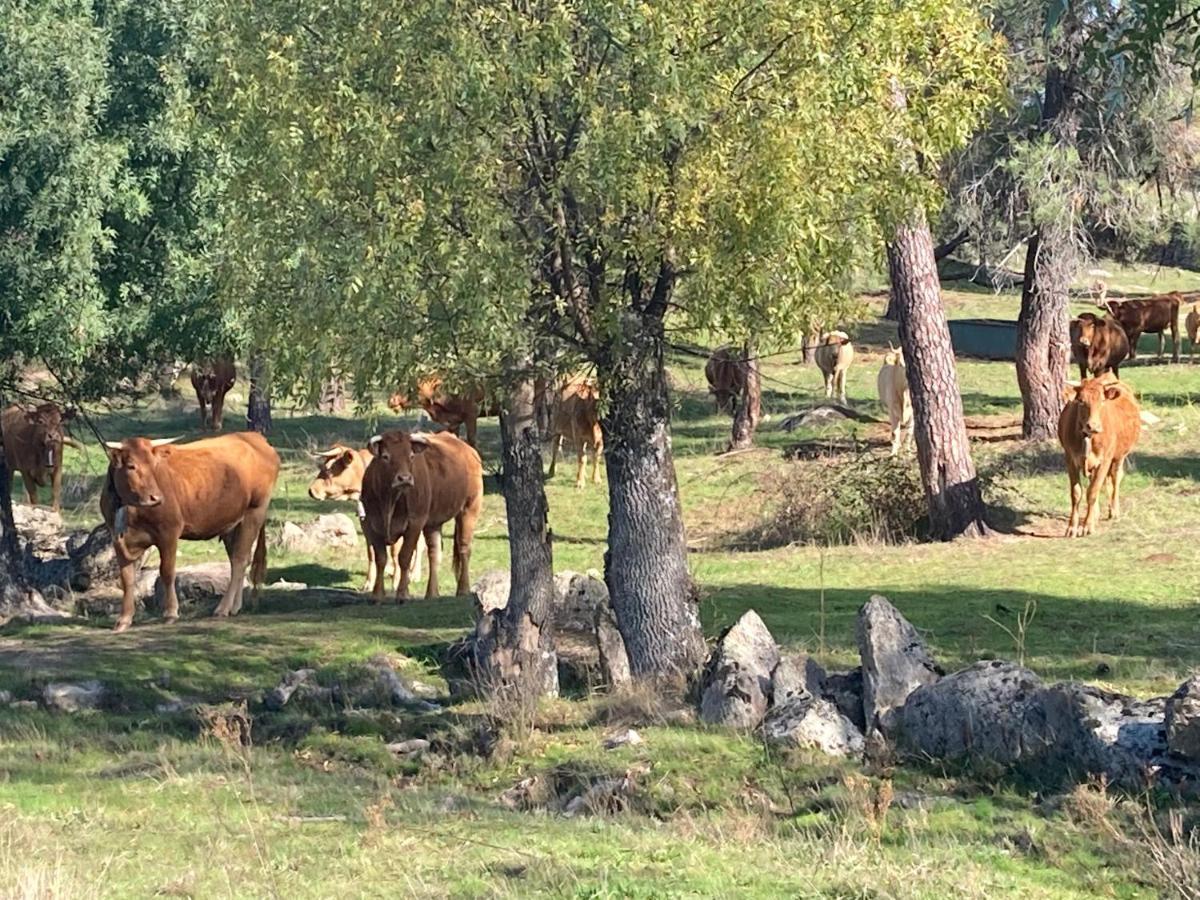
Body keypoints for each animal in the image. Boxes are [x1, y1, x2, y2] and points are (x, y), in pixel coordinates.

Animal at [101, 432, 278, 633]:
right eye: (131, 466)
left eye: (155, 465)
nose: (156, 498)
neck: (131, 511)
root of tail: (254, 437)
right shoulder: (118, 540)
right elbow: (127, 579)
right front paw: (124, 619)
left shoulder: (169, 532)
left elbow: (167, 572)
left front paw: (171, 613)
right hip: (232, 523)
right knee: (239, 559)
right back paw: (234, 606)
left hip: (255, 512)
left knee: (240, 559)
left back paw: (223, 608)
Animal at [307, 446, 424, 592]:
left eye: (329, 469)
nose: (311, 490)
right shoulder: (367, 525)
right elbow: (372, 554)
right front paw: (369, 583)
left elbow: (395, 553)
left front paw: (396, 583)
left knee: (419, 544)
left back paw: (414, 574)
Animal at [360, 432, 482, 607]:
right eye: (385, 456)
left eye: (411, 456)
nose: (404, 478)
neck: (390, 501)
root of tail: (468, 449)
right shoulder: (371, 524)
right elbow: (380, 559)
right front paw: (377, 595)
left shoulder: (415, 523)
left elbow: (404, 557)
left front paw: (402, 594)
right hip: (433, 523)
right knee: (434, 553)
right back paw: (432, 593)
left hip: (469, 509)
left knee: (464, 548)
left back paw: (463, 588)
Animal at [1060, 379, 1142, 540]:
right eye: (1081, 401)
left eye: (1102, 401)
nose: (1093, 426)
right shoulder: (1070, 459)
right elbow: (1076, 493)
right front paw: (1072, 527)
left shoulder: (1104, 461)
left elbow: (1092, 492)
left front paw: (1087, 526)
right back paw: (1095, 514)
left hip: (1119, 456)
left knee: (1115, 479)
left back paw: (1114, 510)